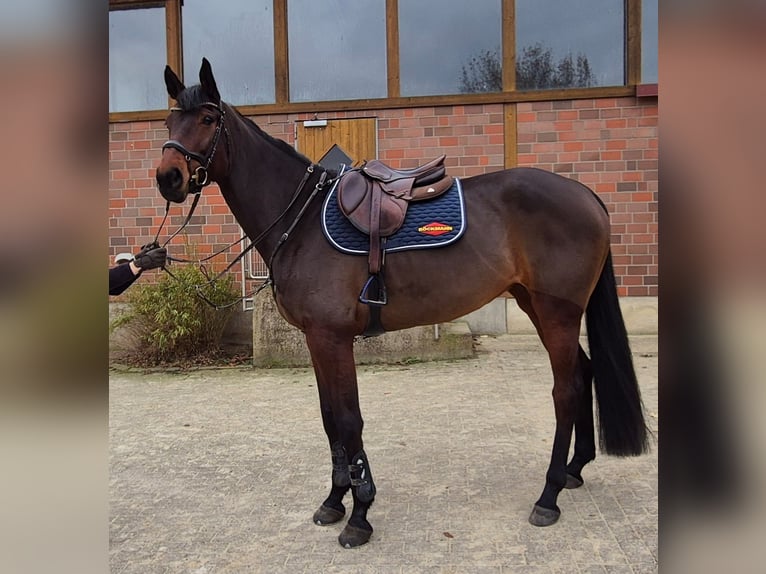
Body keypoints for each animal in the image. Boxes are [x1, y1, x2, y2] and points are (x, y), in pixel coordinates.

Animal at [159, 57, 652, 548]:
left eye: (207, 119)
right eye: (169, 120)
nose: (168, 178)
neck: (301, 222)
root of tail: (586, 195)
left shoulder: (333, 339)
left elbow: (349, 420)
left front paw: (360, 514)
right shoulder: (316, 341)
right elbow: (329, 419)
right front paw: (334, 502)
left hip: (557, 314)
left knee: (566, 391)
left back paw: (548, 496)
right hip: (538, 307)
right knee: (584, 373)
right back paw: (574, 470)